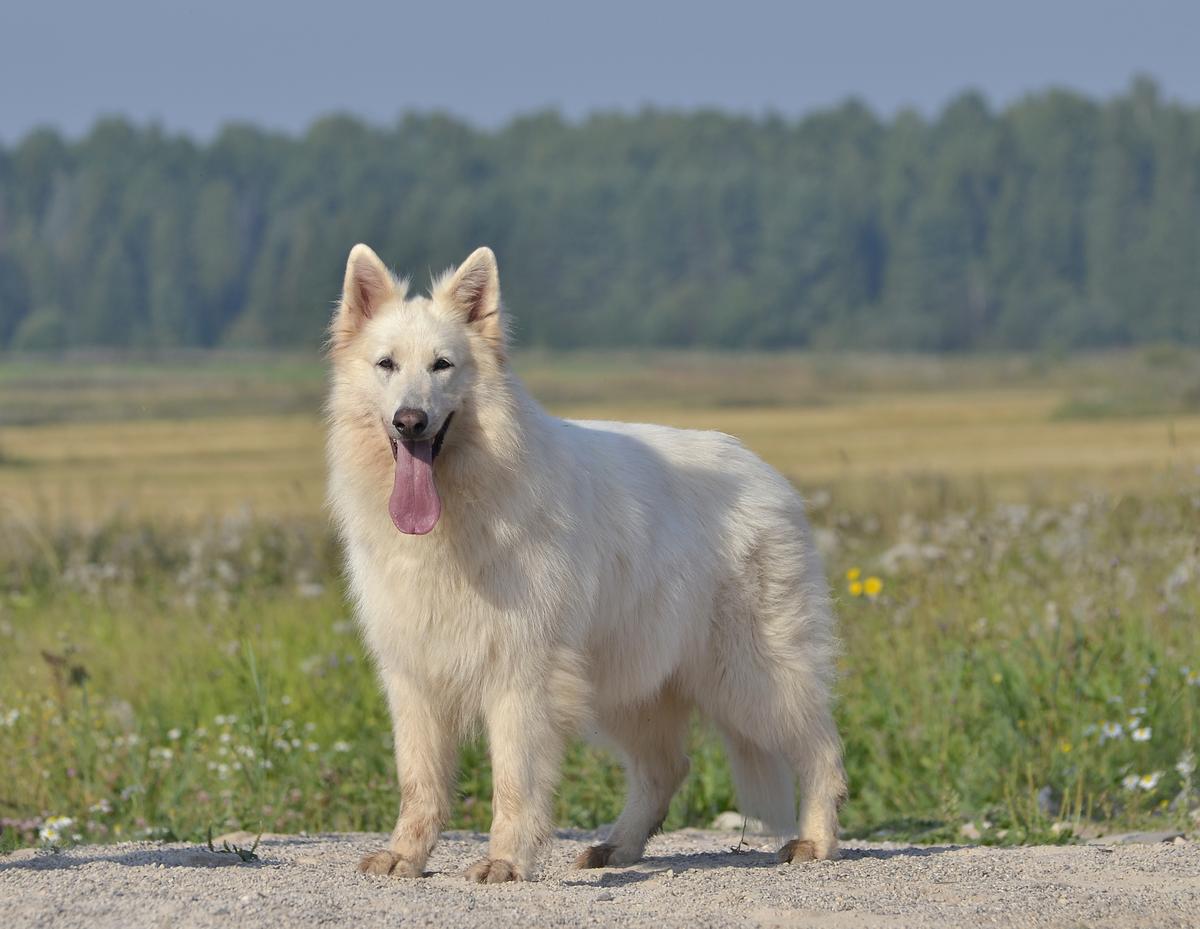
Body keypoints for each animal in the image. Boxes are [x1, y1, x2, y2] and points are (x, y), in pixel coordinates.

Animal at [326, 243, 844, 883]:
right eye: (387, 365)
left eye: (442, 365)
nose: (410, 421)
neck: (462, 510)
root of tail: (765, 471)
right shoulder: (415, 677)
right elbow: (419, 784)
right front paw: (406, 854)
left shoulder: (523, 676)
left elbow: (514, 781)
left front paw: (506, 860)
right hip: (631, 685)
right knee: (665, 769)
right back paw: (618, 848)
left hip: (753, 678)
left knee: (822, 750)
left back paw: (816, 841)